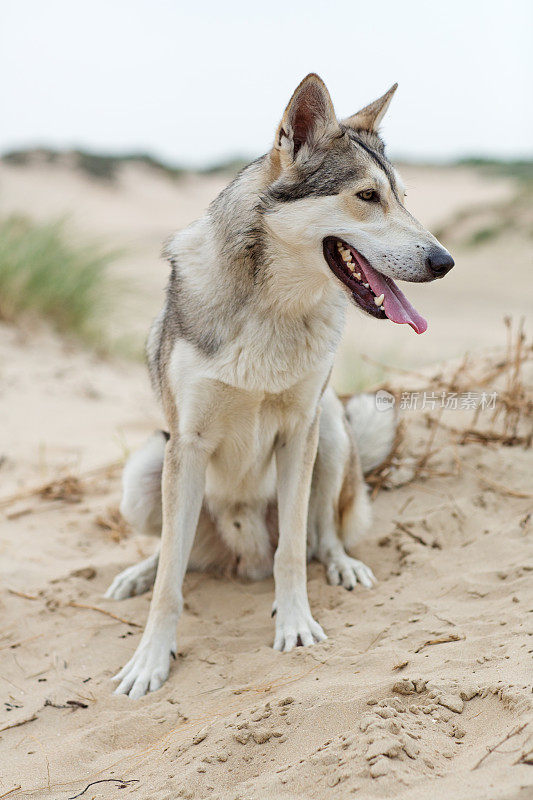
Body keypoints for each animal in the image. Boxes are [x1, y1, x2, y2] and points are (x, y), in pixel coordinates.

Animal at [107, 76, 454, 700]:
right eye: (368, 196)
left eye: (402, 197)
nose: (445, 261)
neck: (273, 308)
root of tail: (243, 556)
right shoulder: (187, 445)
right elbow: (170, 581)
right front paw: (150, 661)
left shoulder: (300, 432)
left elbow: (293, 550)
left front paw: (295, 626)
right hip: (145, 472)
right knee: (174, 550)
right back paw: (137, 574)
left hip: (331, 432)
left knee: (322, 536)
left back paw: (342, 566)